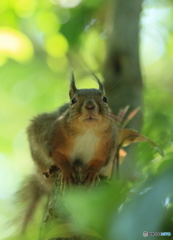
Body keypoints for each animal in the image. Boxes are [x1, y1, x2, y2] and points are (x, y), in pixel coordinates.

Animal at [16, 72, 119, 232]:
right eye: (73, 100)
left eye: (105, 99)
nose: (90, 106)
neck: (88, 131)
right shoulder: (55, 141)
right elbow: (60, 158)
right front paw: (68, 171)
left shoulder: (105, 149)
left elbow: (98, 162)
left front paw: (92, 173)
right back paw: (52, 169)